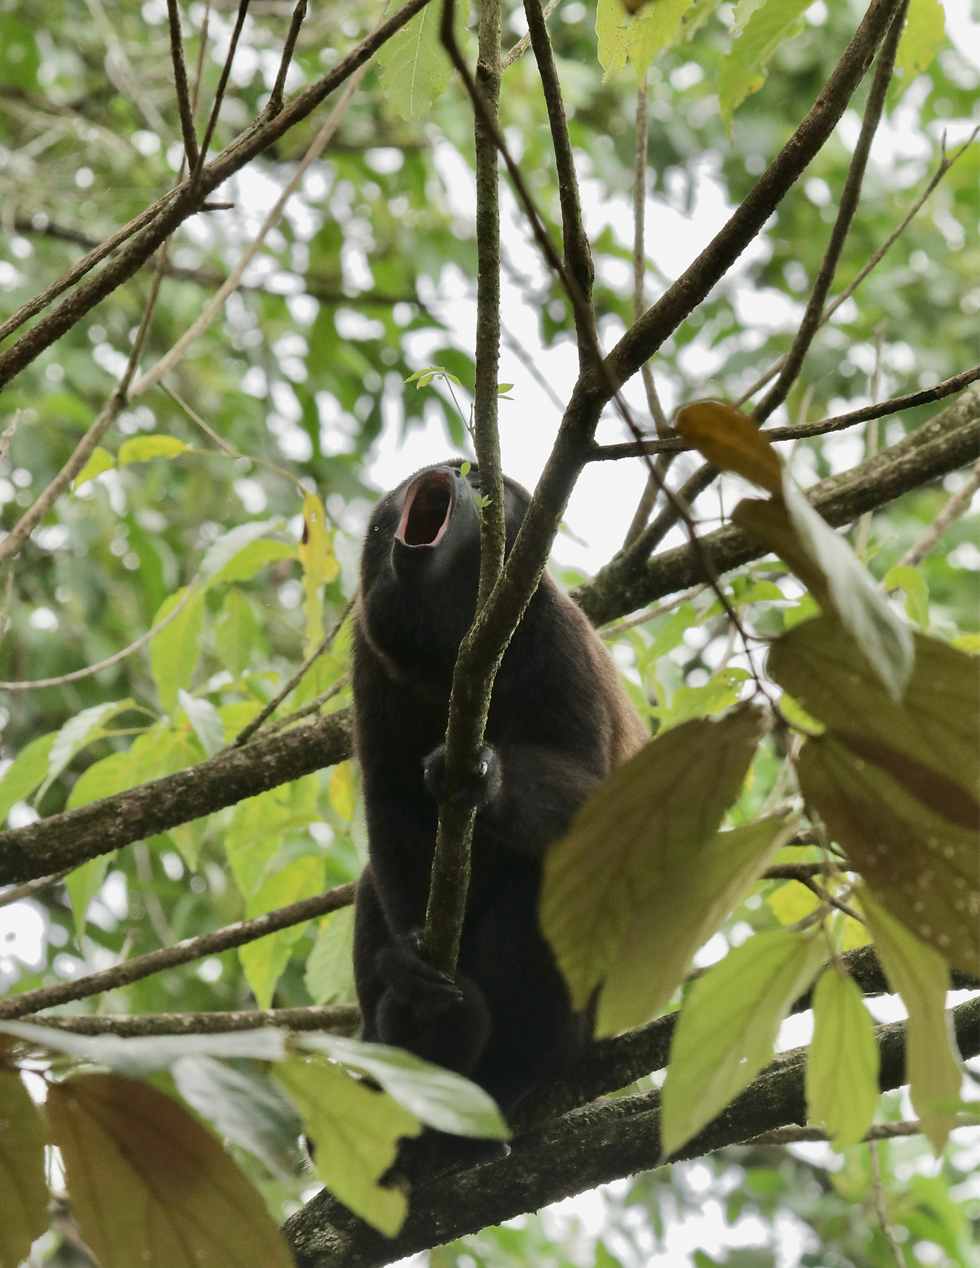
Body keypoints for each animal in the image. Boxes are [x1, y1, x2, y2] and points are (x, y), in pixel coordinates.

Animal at [351, 460, 646, 1123]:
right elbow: (390, 808)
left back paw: (513, 1068)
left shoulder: (553, 633)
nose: (452, 473)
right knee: (368, 879)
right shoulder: (369, 654)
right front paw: (412, 967)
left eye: (484, 482)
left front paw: (486, 777)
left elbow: (611, 815)